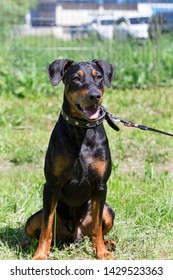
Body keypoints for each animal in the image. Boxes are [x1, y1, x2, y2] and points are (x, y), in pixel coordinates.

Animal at [25, 59, 115, 260]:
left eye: (99, 77)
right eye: (76, 78)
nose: (94, 96)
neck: (81, 130)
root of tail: (74, 236)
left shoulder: (101, 186)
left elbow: (97, 227)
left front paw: (102, 253)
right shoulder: (51, 185)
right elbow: (46, 228)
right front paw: (40, 255)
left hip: (108, 211)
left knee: (97, 230)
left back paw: (108, 244)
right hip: (33, 219)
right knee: (35, 231)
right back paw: (25, 246)